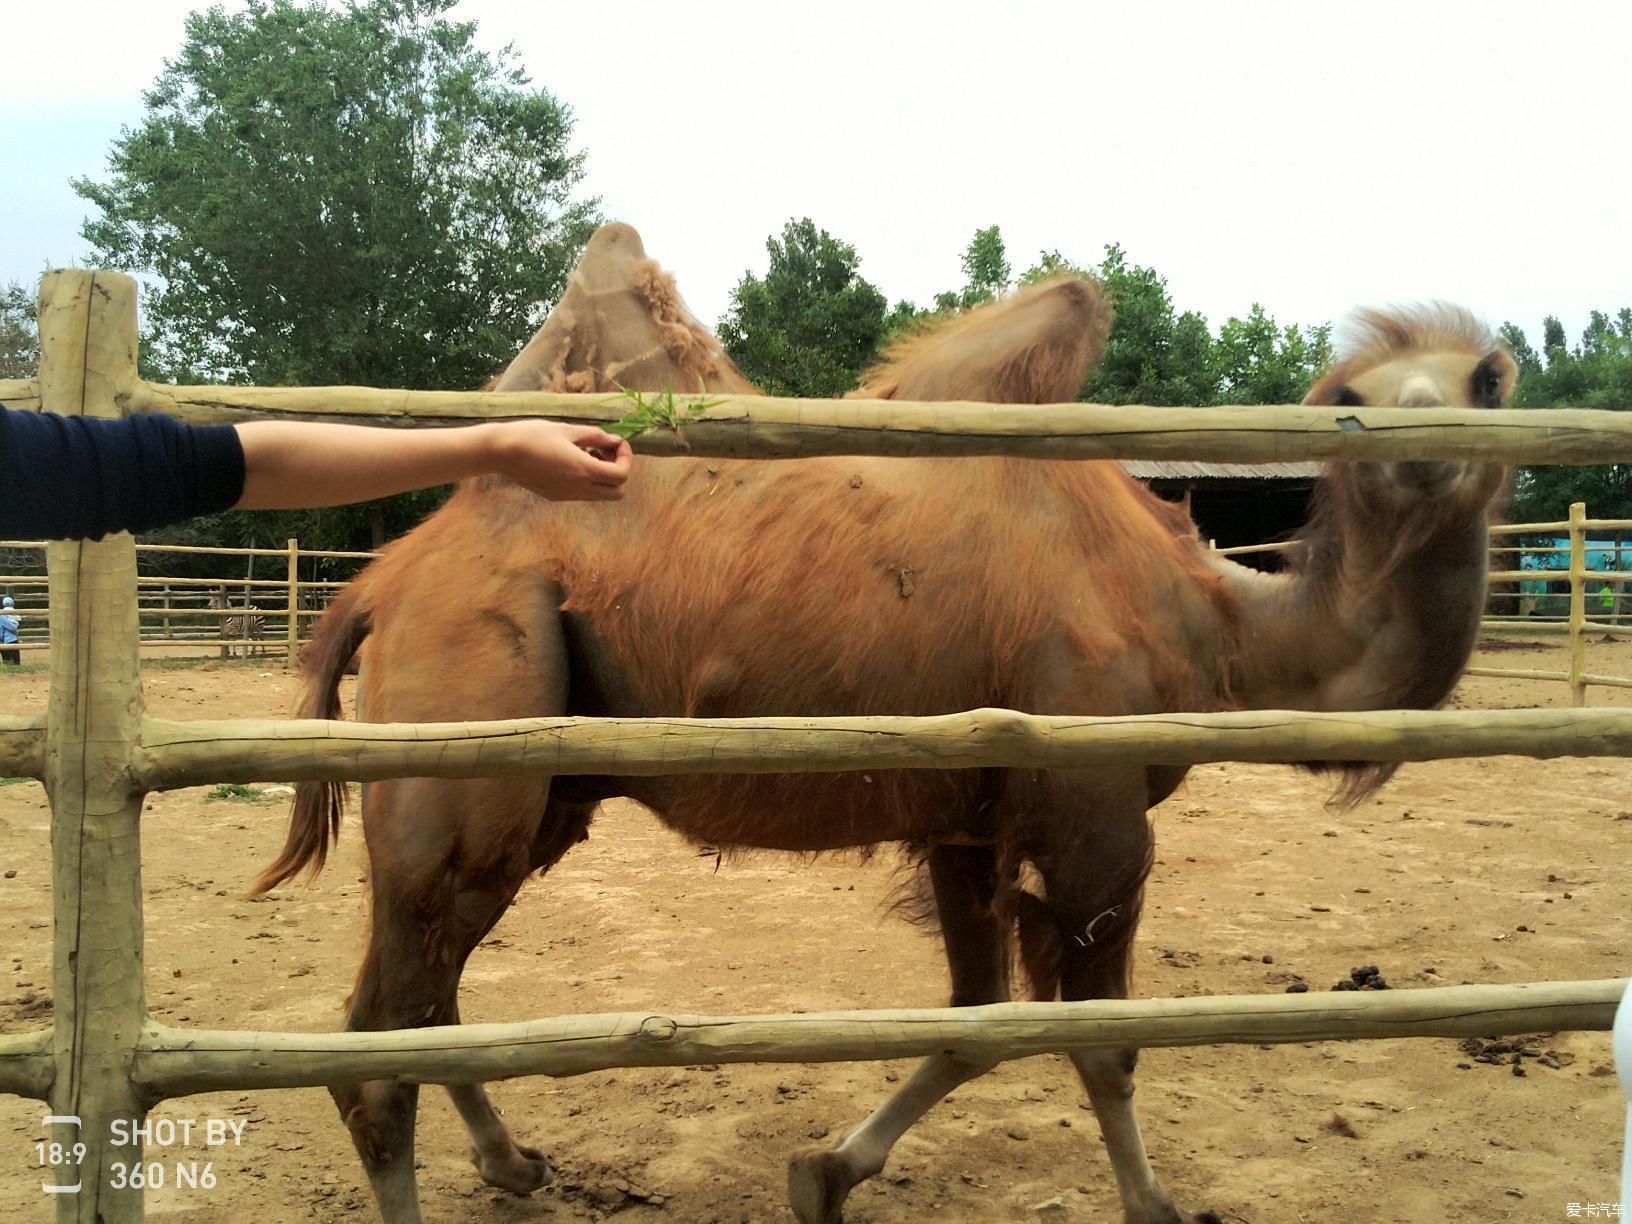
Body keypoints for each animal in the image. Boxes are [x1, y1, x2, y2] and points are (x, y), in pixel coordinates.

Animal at [254, 223, 1514, 1224]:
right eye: (1353, 402)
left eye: (1482, 380)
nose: (1421, 448)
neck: (1208, 627)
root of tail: (385, 581)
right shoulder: (1094, 817)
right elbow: (1103, 1042)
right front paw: (1156, 1207)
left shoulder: (971, 818)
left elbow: (977, 1017)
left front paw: (823, 1174)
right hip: (472, 708)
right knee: (384, 1044)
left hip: (540, 777)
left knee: (416, 1003)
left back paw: (515, 1162)